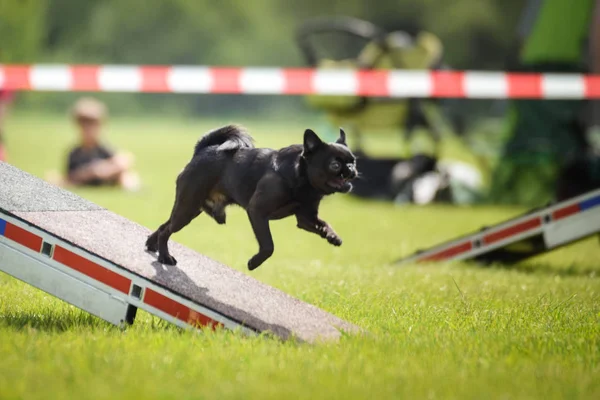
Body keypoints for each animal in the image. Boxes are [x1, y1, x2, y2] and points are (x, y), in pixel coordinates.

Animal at [146, 125, 356, 268]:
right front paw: (254, 263)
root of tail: (203, 150)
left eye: (353, 161)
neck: (301, 177)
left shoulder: (306, 218)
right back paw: (165, 257)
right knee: (167, 230)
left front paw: (332, 236)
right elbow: (268, 246)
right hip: (188, 207)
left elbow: (324, 224)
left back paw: (152, 244)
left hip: (190, 208)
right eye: (335, 165)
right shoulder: (257, 212)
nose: (351, 169)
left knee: (165, 225)